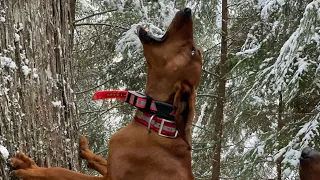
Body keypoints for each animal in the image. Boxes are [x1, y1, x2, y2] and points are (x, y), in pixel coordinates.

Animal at [11, 7, 202, 179]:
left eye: (192, 51)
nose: (188, 10)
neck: (156, 120)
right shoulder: (110, 166)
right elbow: (100, 159)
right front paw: (86, 150)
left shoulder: (110, 178)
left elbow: (62, 172)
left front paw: (31, 168)